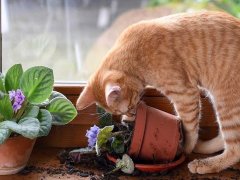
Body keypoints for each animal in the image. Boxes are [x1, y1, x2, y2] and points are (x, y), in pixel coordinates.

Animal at [76, 11, 240, 174]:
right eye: (126, 110)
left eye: (129, 107)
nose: (131, 113)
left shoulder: (185, 95)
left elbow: (189, 129)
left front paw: (186, 148)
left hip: (226, 105)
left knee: (234, 149)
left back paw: (205, 164)